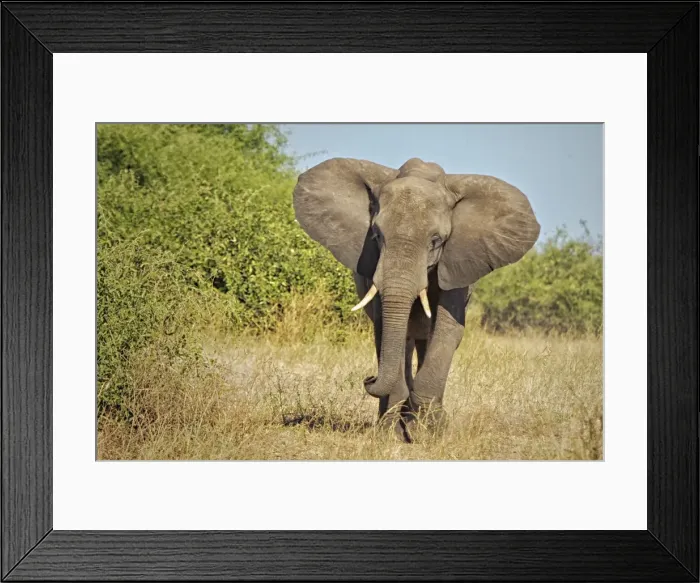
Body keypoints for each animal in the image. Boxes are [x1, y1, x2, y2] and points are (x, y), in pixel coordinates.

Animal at [292, 157, 540, 441]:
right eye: (376, 235)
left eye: (436, 241)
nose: (369, 378)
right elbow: (385, 330)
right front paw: (393, 433)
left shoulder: (457, 261)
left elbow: (447, 329)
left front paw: (429, 431)